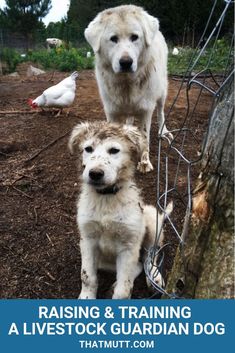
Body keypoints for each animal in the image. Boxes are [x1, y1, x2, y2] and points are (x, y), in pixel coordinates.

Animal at [69, 121, 172, 296]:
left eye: (114, 150)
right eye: (88, 149)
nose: (95, 173)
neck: (106, 198)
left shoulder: (129, 246)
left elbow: (124, 289)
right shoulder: (88, 240)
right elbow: (87, 276)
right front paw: (86, 297)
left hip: (152, 219)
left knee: (149, 256)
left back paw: (155, 278)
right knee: (138, 264)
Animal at [84, 4, 171, 172]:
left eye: (134, 37)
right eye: (113, 39)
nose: (126, 62)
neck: (127, 83)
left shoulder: (146, 109)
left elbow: (145, 137)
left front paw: (144, 162)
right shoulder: (111, 111)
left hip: (162, 93)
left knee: (161, 112)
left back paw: (163, 131)